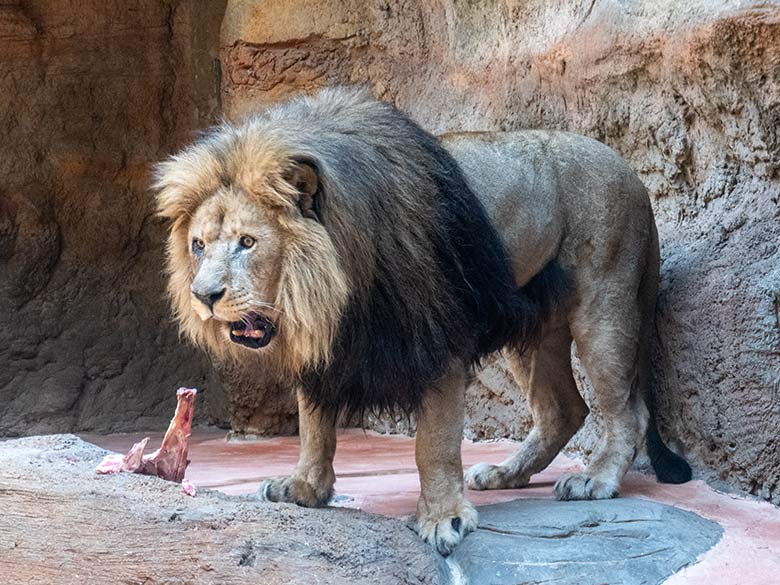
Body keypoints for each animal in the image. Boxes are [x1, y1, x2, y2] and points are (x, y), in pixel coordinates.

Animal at [152, 88, 688, 556]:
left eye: (247, 242)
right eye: (198, 245)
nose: (204, 297)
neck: (334, 290)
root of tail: (633, 175)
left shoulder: (436, 340)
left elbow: (433, 443)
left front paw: (442, 517)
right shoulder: (328, 349)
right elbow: (314, 426)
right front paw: (305, 487)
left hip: (604, 304)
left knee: (625, 411)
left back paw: (596, 479)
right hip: (536, 334)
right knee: (563, 409)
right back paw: (506, 474)